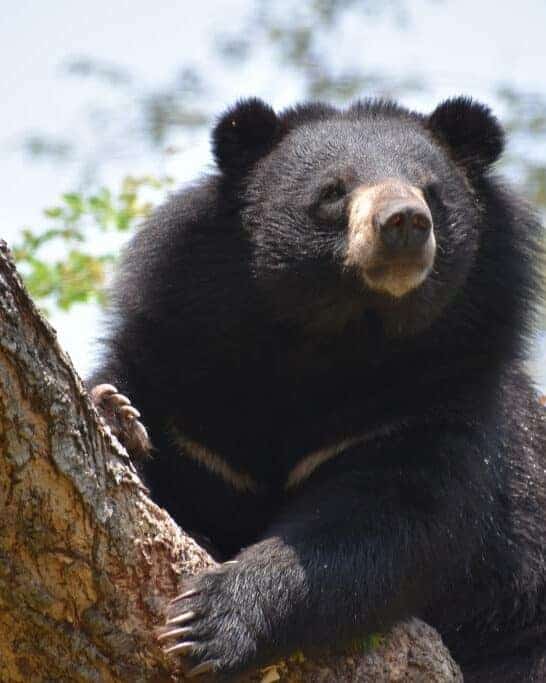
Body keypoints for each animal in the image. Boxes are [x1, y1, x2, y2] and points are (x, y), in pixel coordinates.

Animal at [89, 96, 546, 681]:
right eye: (333, 192)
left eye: (432, 192)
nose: (404, 222)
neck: (335, 339)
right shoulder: (182, 362)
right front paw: (116, 414)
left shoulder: (437, 397)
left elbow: (392, 522)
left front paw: (207, 622)